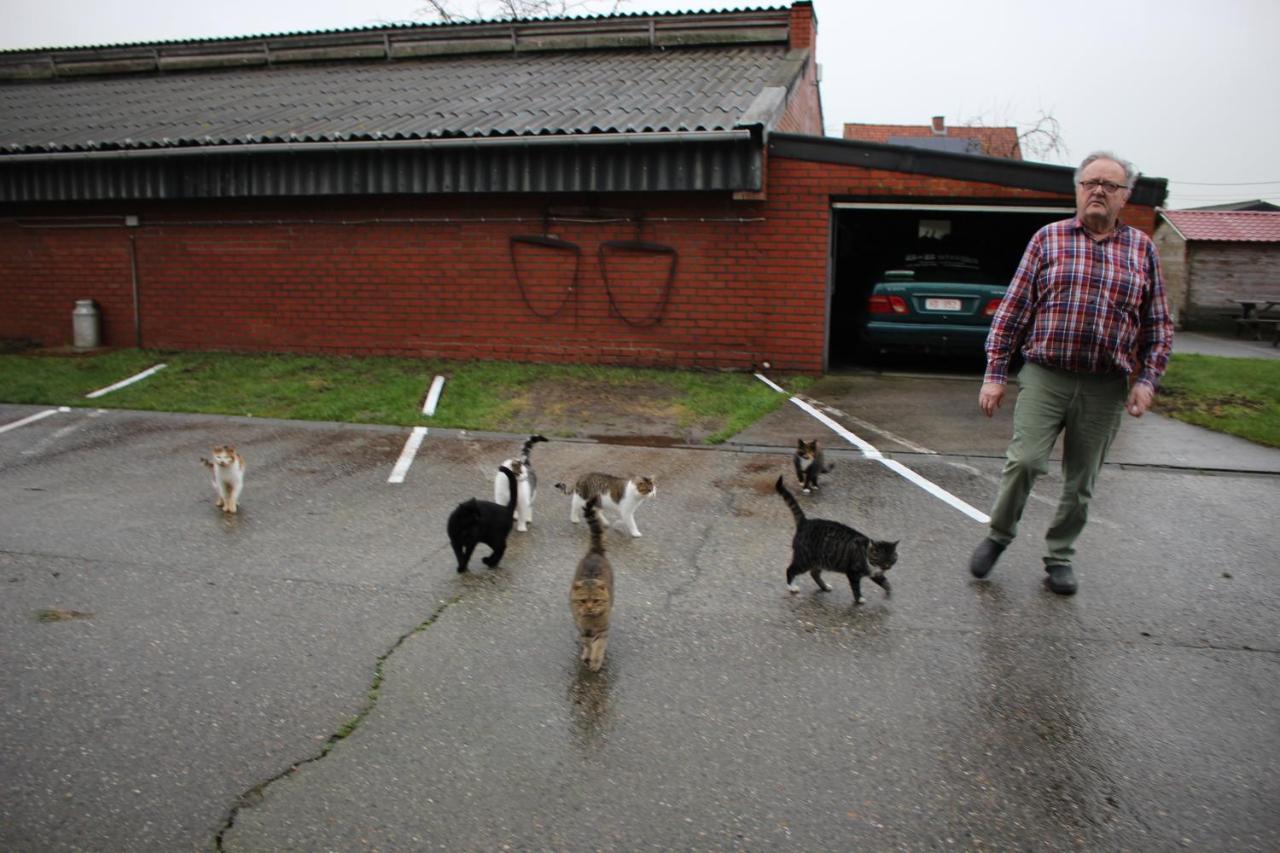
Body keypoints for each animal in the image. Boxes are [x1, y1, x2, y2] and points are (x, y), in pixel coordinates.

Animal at [570, 499, 614, 671]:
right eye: (583, 601)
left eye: (595, 600)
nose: (589, 607)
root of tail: (594, 552)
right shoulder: (584, 630)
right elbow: (588, 644)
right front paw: (587, 655)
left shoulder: (603, 631)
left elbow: (599, 646)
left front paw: (595, 661)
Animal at [773, 473, 896, 601]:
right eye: (881, 559)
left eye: (892, 559)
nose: (887, 567)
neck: (867, 555)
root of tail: (805, 522)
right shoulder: (853, 573)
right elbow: (856, 587)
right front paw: (859, 599)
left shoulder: (875, 573)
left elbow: (884, 581)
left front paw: (888, 591)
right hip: (804, 559)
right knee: (791, 570)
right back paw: (792, 587)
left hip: (819, 560)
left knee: (814, 573)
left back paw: (824, 587)